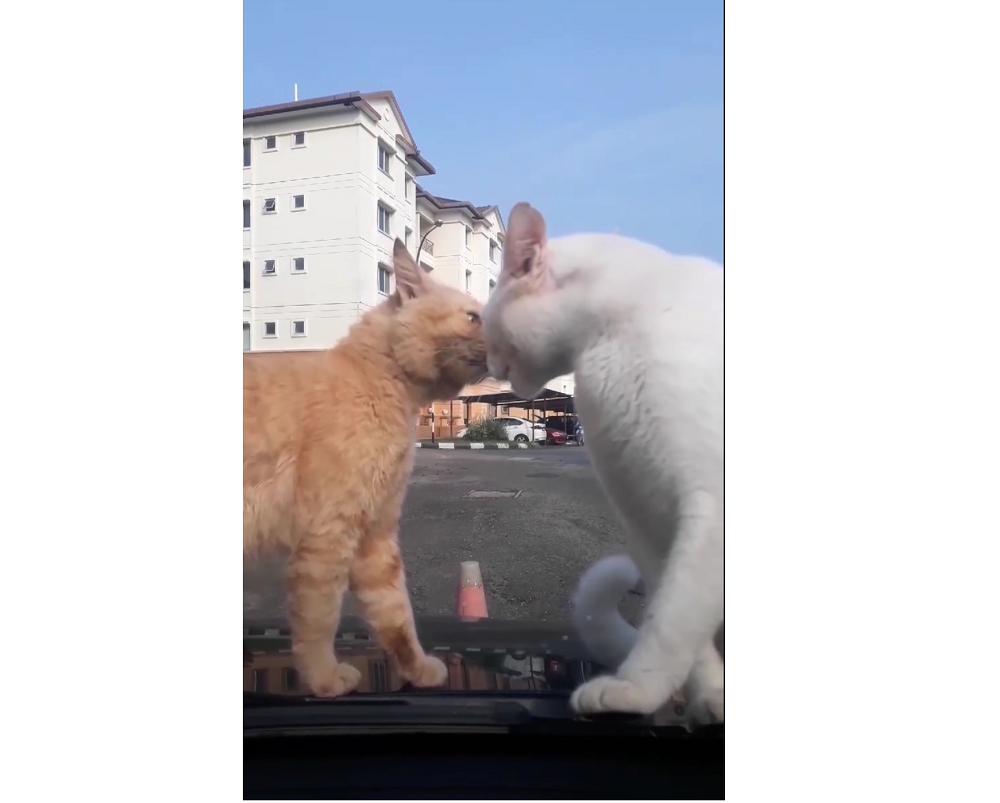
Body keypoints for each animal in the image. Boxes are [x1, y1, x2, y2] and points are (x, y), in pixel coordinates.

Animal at [246, 240, 488, 696]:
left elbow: (395, 614)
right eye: (473, 317)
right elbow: (319, 619)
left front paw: (416, 669)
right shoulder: (328, 533)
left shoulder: (376, 532)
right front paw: (324, 678)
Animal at [482, 203, 724, 724]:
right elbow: (675, 621)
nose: (487, 365)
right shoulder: (647, 520)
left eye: (487, 326)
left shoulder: (709, 511)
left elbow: (671, 621)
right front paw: (704, 698)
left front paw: (635, 688)